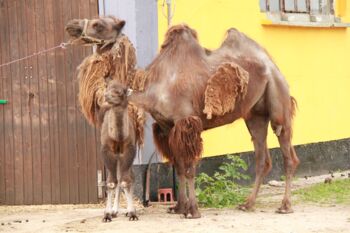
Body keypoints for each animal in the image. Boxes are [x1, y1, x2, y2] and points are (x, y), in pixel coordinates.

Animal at [100, 78, 138, 222]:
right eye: (107, 87)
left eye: (120, 91)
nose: (106, 96)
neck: (118, 137)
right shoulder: (107, 150)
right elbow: (111, 183)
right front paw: (107, 215)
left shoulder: (129, 150)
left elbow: (125, 181)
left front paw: (132, 213)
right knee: (117, 177)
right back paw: (114, 211)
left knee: (128, 177)